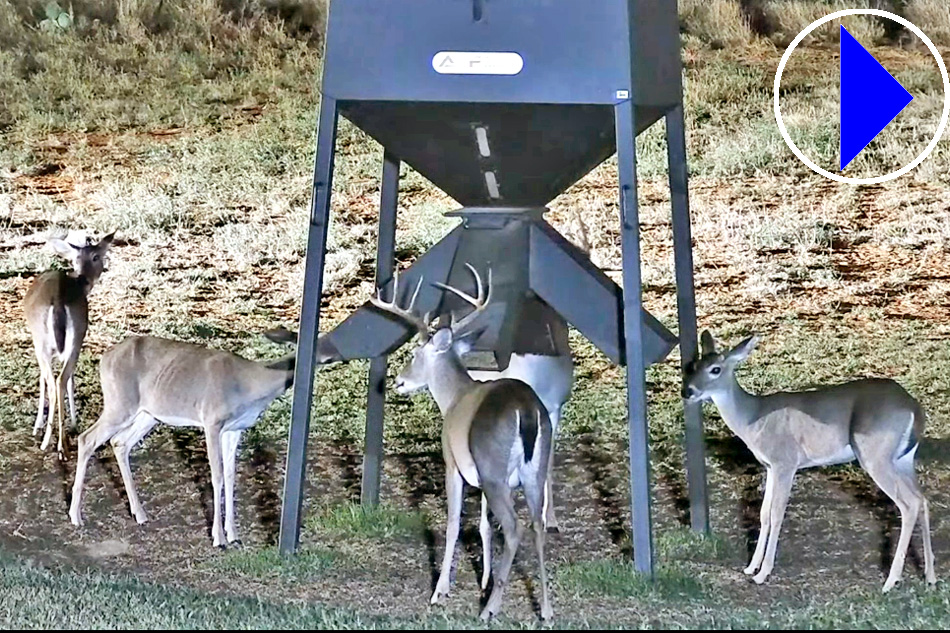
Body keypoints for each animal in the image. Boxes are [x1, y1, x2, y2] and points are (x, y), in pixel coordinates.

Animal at [23, 230, 115, 457]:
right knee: (60, 379)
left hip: (46, 340)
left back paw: (54, 442)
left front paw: (40, 426)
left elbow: (47, 379)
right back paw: (58, 443)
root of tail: (57, 299)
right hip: (71, 338)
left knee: (55, 380)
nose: (89, 278)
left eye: (96, 256)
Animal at [68, 329, 296, 548]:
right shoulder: (212, 422)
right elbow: (217, 476)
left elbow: (231, 475)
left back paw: (139, 514)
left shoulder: (235, 429)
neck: (249, 384)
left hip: (148, 414)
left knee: (119, 442)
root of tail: (105, 357)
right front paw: (218, 538)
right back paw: (75, 516)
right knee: (86, 438)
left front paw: (233, 535)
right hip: (119, 404)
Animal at [370, 264, 554, 622]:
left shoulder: (453, 463)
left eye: (415, 353)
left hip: (494, 468)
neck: (454, 398)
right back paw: (547, 611)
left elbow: (454, 523)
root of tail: (526, 411)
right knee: (537, 525)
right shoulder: (482, 479)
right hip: (533, 469)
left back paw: (490, 610)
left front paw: (440, 591)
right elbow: (483, 525)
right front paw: (482, 581)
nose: (398, 382)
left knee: (514, 527)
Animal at [683, 330, 936, 592]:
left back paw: (890, 580)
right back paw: (930, 576)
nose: (687, 392)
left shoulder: (786, 461)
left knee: (908, 504)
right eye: (692, 366)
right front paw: (751, 567)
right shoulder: (770, 466)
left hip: (875, 454)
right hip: (903, 458)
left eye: (715, 369)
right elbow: (763, 513)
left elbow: (776, 513)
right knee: (922, 499)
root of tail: (914, 408)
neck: (753, 420)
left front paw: (763, 573)